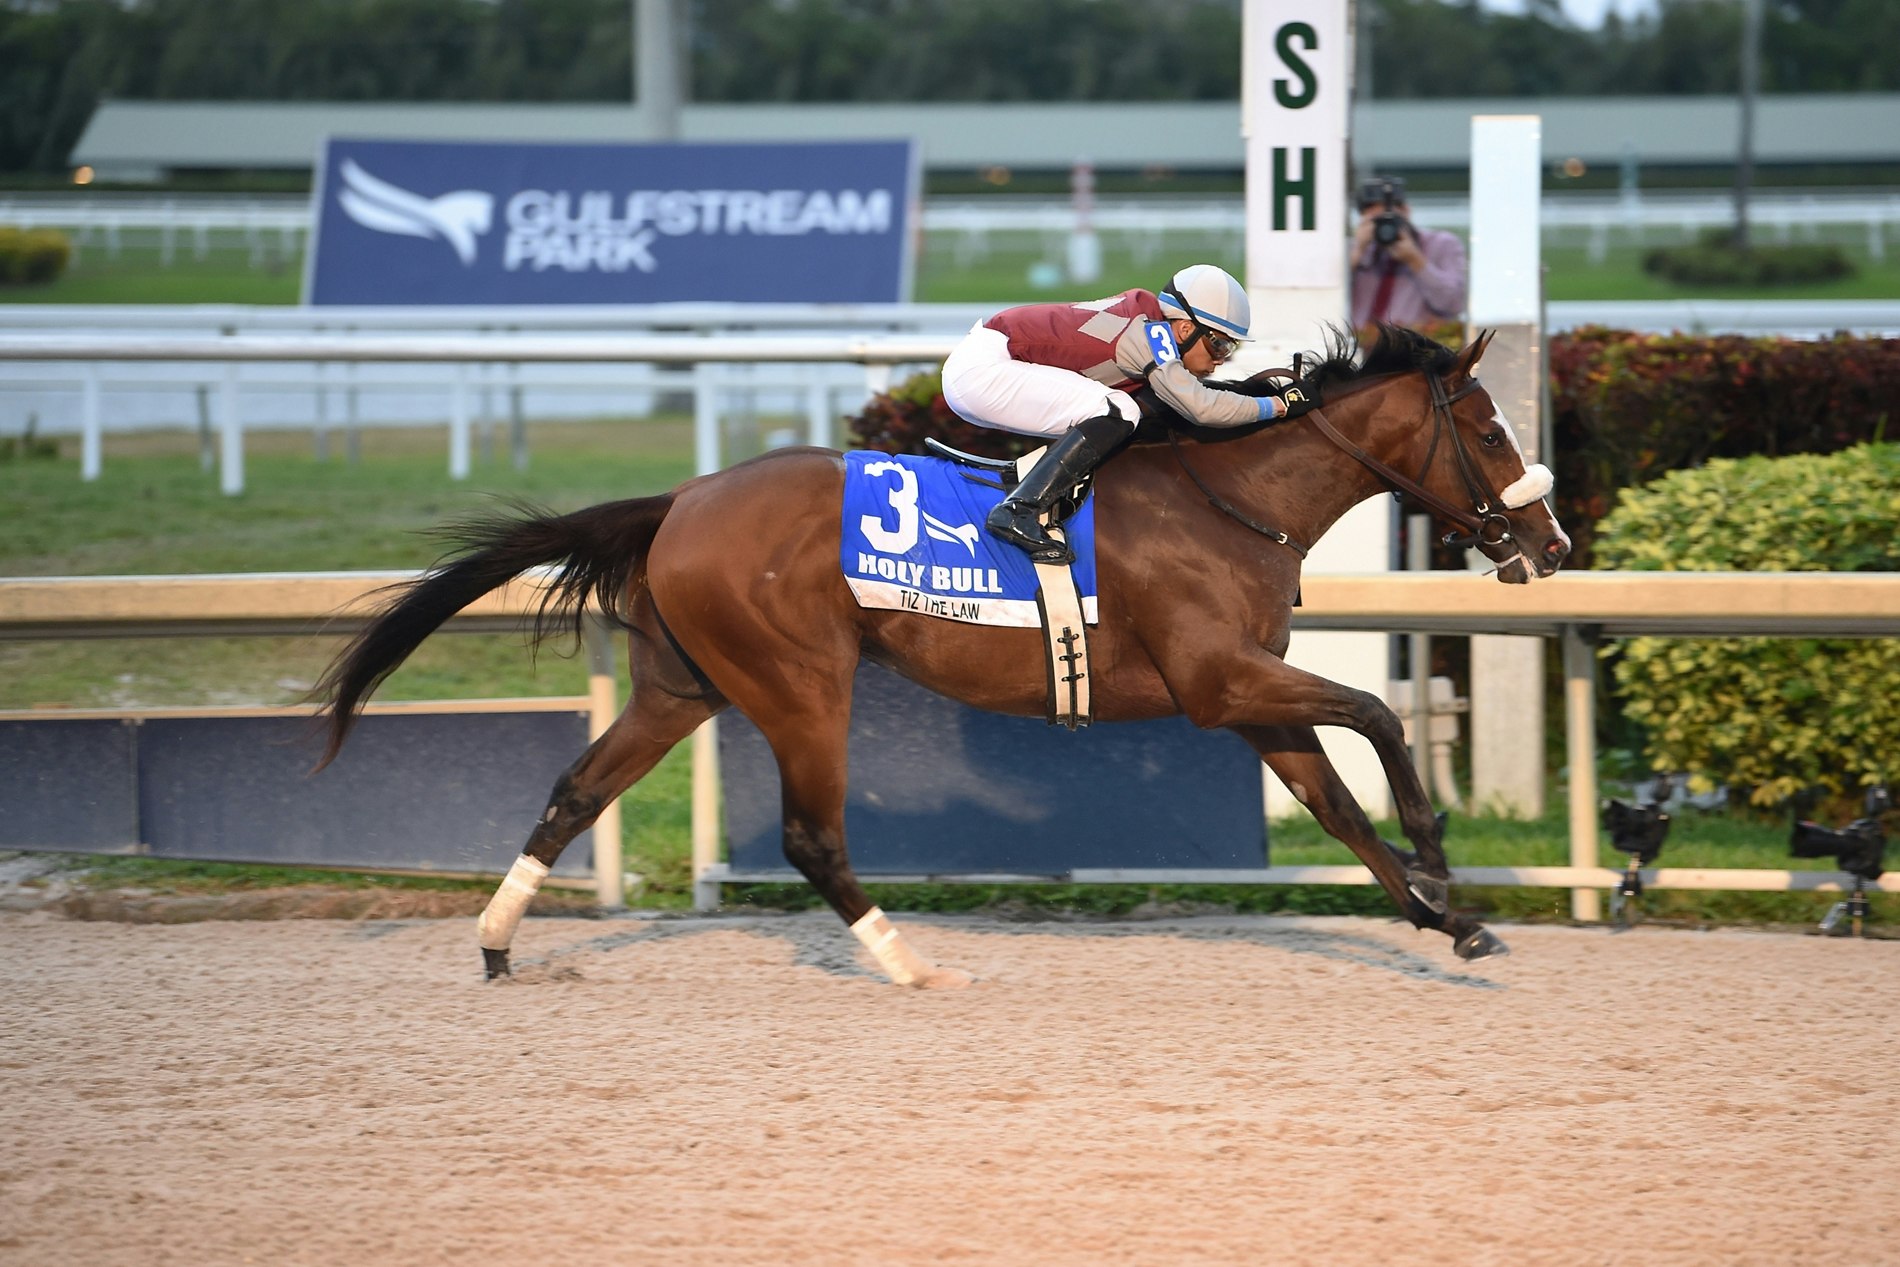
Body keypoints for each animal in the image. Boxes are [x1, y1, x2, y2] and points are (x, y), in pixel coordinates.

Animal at [313, 323, 1571, 986]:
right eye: (1490, 427)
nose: (1552, 542)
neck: (1234, 503)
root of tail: (682, 499)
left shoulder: (1249, 692)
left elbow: (1339, 807)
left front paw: (1447, 919)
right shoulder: (1219, 683)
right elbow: (1380, 715)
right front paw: (1440, 856)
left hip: (684, 685)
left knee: (577, 786)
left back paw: (495, 941)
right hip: (800, 679)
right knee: (811, 834)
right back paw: (905, 959)